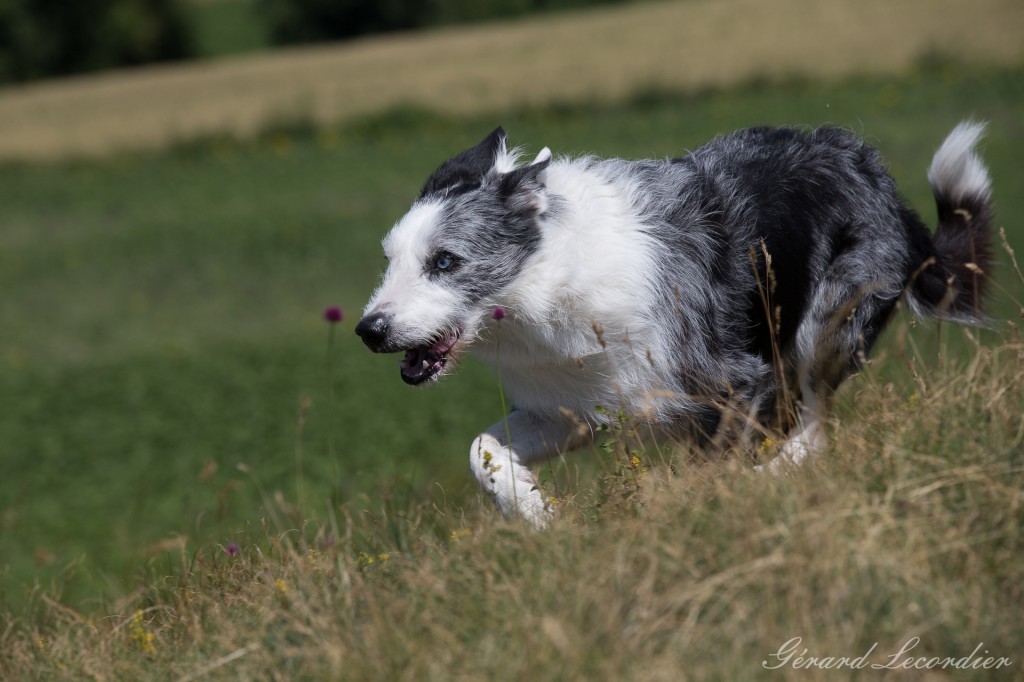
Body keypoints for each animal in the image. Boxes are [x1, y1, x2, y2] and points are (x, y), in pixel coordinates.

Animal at [354, 122, 991, 524]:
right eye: (390, 259)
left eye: (445, 261)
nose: (369, 330)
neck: (553, 276)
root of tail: (876, 172)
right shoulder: (574, 405)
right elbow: (480, 449)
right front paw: (538, 514)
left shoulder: (737, 382)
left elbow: (715, 470)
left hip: (826, 324)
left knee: (814, 431)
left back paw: (770, 482)